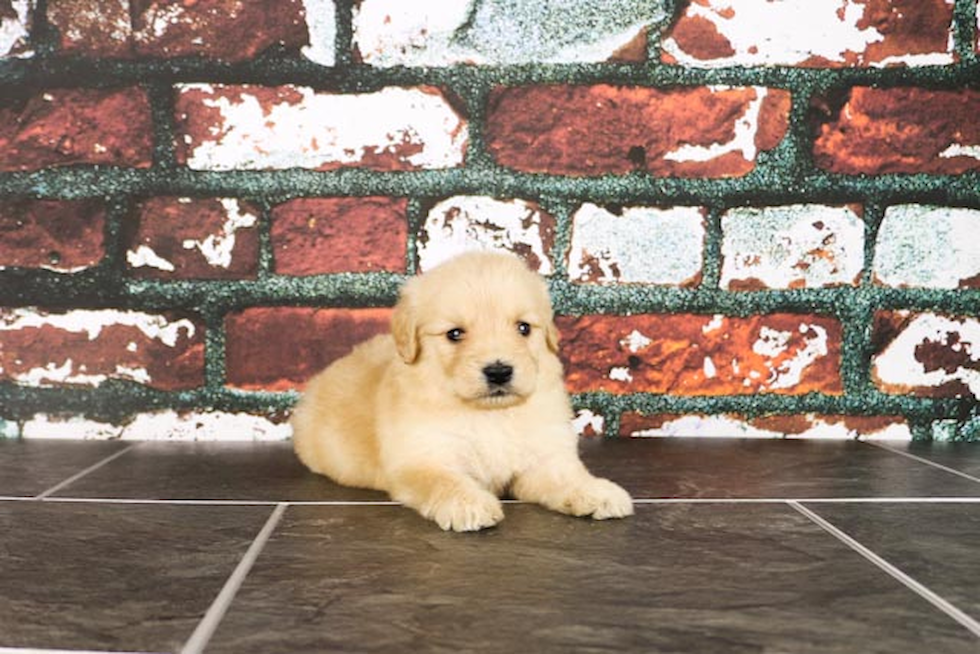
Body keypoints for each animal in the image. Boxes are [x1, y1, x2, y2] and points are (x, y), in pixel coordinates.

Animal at [290, 251, 636, 532]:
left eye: (523, 327)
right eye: (454, 334)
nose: (499, 371)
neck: (489, 414)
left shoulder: (542, 457)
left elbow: (567, 476)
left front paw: (596, 492)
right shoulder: (422, 457)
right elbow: (445, 481)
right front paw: (469, 505)